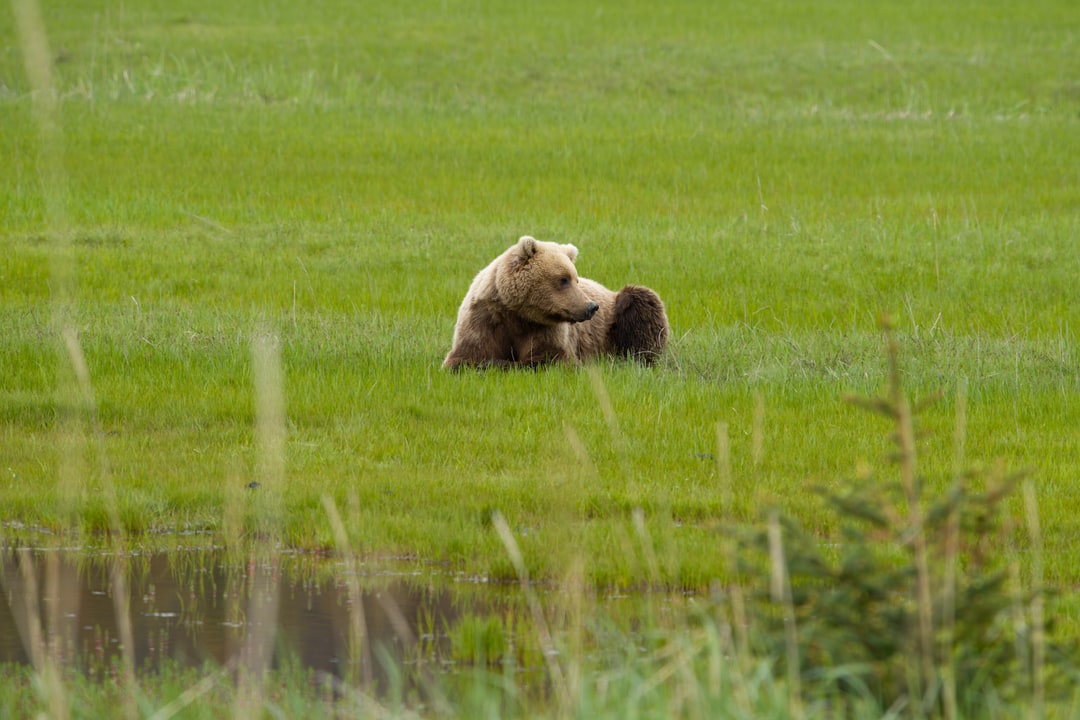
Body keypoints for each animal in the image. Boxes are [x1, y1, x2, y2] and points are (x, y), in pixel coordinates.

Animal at [443, 235, 669, 369]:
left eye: (575, 278)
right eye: (563, 279)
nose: (591, 307)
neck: (517, 313)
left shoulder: (547, 327)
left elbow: (551, 358)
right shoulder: (484, 318)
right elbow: (466, 357)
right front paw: (490, 362)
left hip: (617, 313)